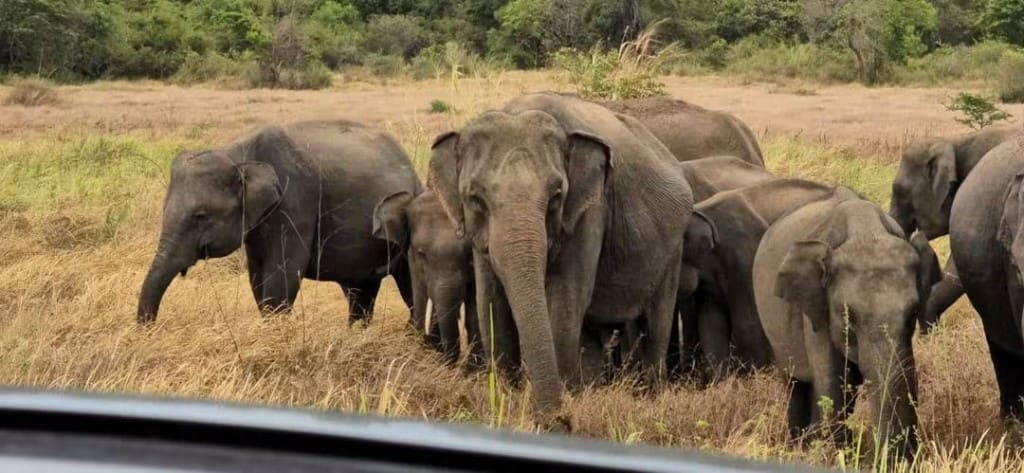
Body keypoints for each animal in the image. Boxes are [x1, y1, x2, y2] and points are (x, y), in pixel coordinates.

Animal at [138, 120, 422, 325]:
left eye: (200, 216)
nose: (151, 329)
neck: (239, 153)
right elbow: (257, 279)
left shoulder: (294, 202)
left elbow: (282, 276)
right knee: (361, 292)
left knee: (410, 286)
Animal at [428, 92, 693, 425]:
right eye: (475, 198)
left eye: (556, 196)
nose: (561, 421)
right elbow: (491, 303)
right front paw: (506, 400)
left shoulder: (588, 214)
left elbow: (565, 303)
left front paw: (563, 403)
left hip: (673, 247)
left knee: (657, 320)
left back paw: (650, 396)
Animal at [753, 195, 940, 458]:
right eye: (848, 316)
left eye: (913, 313)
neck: (866, 231)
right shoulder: (816, 309)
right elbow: (834, 386)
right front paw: (837, 456)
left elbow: (905, 376)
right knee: (794, 384)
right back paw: (797, 447)